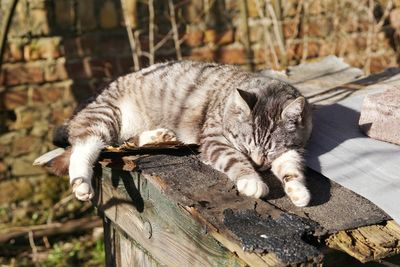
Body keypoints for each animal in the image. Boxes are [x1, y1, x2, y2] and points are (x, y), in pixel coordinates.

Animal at [34, 60, 314, 207]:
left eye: (270, 149)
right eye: (244, 145)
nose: (258, 164)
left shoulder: (294, 147)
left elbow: (291, 167)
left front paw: (298, 191)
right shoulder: (214, 139)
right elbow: (233, 159)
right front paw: (251, 180)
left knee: (122, 141)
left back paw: (160, 136)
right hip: (105, 116)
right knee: (84, 146)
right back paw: (81, 183)